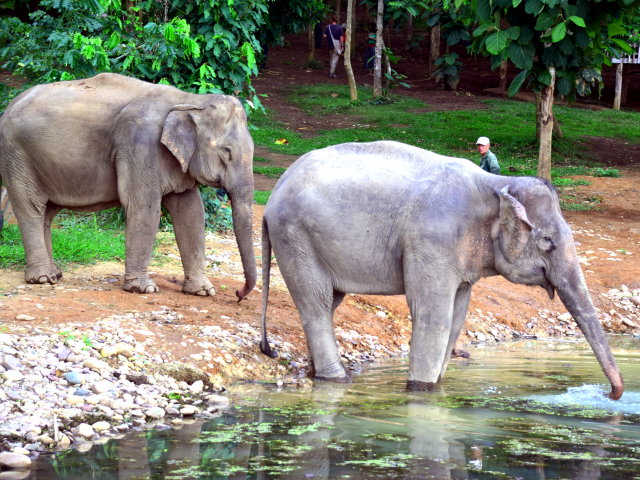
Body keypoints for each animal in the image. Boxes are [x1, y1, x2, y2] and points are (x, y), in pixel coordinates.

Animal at [0, 72, 255, 298]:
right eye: (227, 152)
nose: (238, 294)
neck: (191, 100)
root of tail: (10, 105)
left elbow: (191, 211)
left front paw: (202, 291)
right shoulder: (139, 145)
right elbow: (144, 208)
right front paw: (144, 289)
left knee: (47, 212)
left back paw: (54, 274)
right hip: (17, 156)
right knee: (31, 208)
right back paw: (42, 279)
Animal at [258, 141, 624, 400]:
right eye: (547, 242)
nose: (612, 394)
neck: (496, 184)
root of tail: (276, 189)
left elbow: (457, 315)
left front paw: (437, 387)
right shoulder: (432, 241)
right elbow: (433, 315)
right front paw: (421, 391)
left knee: (330, 301)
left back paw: (319, 374)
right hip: (295, 237)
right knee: (316, 303)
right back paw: (337, 380)